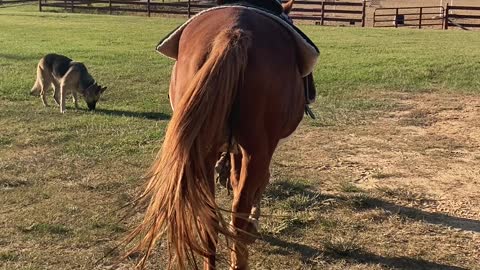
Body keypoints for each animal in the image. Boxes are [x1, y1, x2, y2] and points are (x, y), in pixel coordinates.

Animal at [127, 1, 316, 268]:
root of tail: (234, 32)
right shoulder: (260, 149)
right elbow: (258, 182)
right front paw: (255, 221)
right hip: (256, 150)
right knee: (238, 215)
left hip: (205, 152)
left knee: (209, 219)